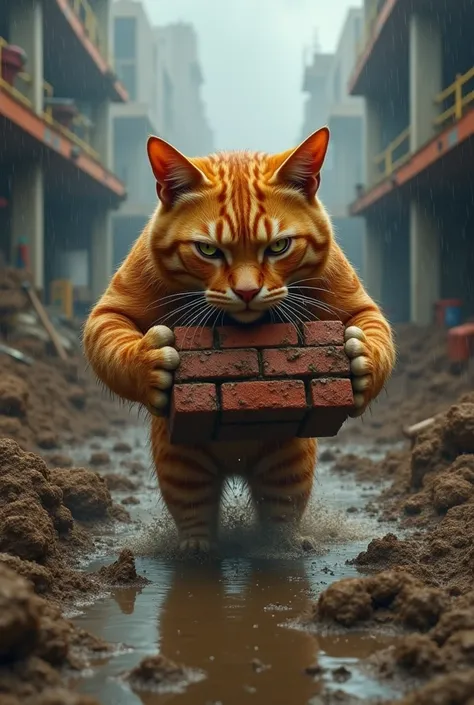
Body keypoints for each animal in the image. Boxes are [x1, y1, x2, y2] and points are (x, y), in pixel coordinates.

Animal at [82, 129, 396, 552]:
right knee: (195, 511)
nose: (247, 292)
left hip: (287, 463)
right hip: (182, 463)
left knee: (279, 513)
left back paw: (284, 546)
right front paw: (153, 365)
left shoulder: (355, 302)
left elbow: (376, 334)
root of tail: (236, 463)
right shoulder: (111, 309)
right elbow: (112, 342)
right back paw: (197, 549)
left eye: (278, 246)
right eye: (208, 250)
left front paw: (359, 361)